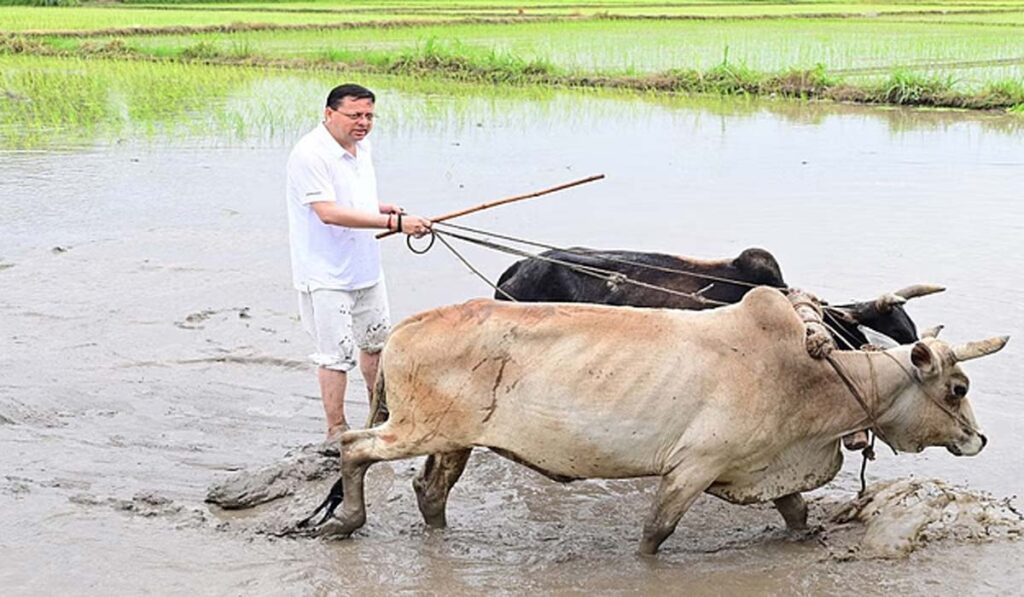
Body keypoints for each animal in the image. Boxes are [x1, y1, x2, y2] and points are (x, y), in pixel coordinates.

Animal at [312, 288, 1006, 554]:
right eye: (958, 387)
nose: (978, 438)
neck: (811, 375)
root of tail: (403, 328)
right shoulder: (692, 468)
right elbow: (655, 534)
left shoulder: (763, 468)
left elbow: (797, 514)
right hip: (418, 428)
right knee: (353, 445)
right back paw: (347, 521)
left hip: (455, 439)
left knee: (430, 490)